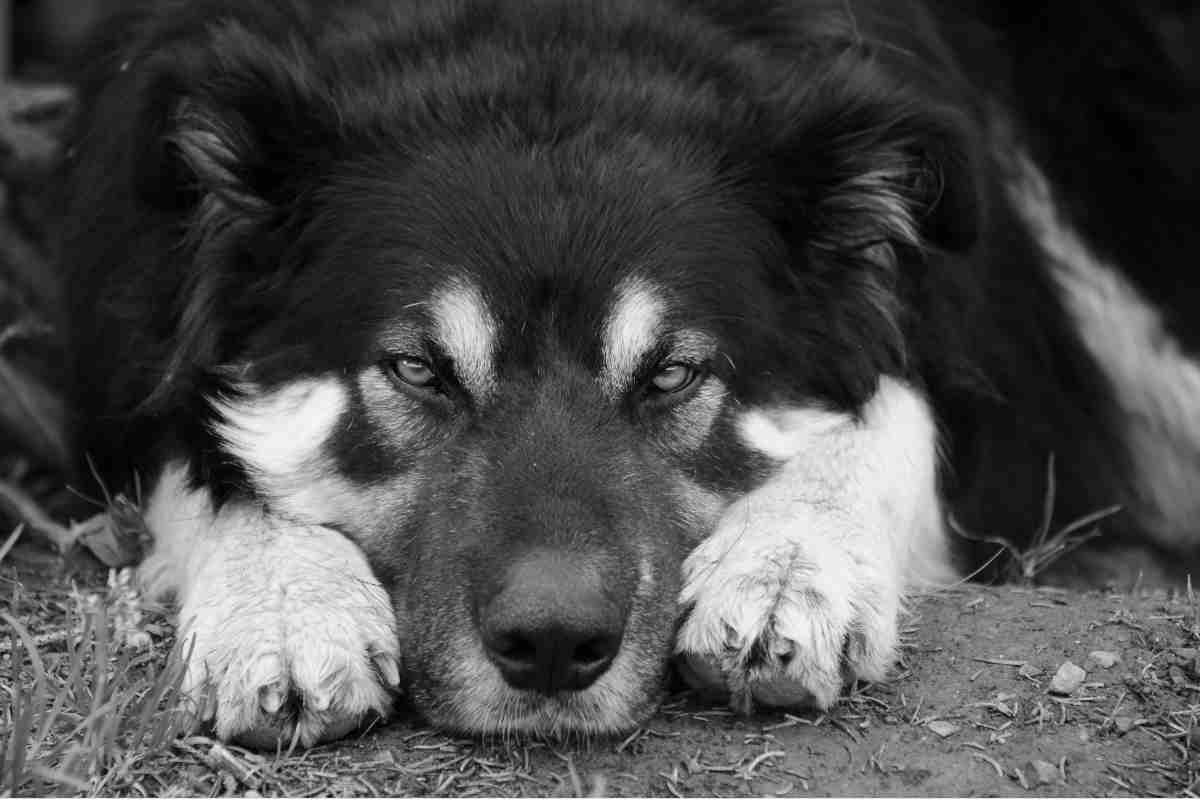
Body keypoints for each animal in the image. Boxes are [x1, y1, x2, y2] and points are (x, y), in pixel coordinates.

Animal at [54, 1, 1200, 753]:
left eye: (673, 375)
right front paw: (284, 603)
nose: (555, 647)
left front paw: (790, 562)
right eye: (419, 368)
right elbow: (206, 458)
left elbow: (887, 414)